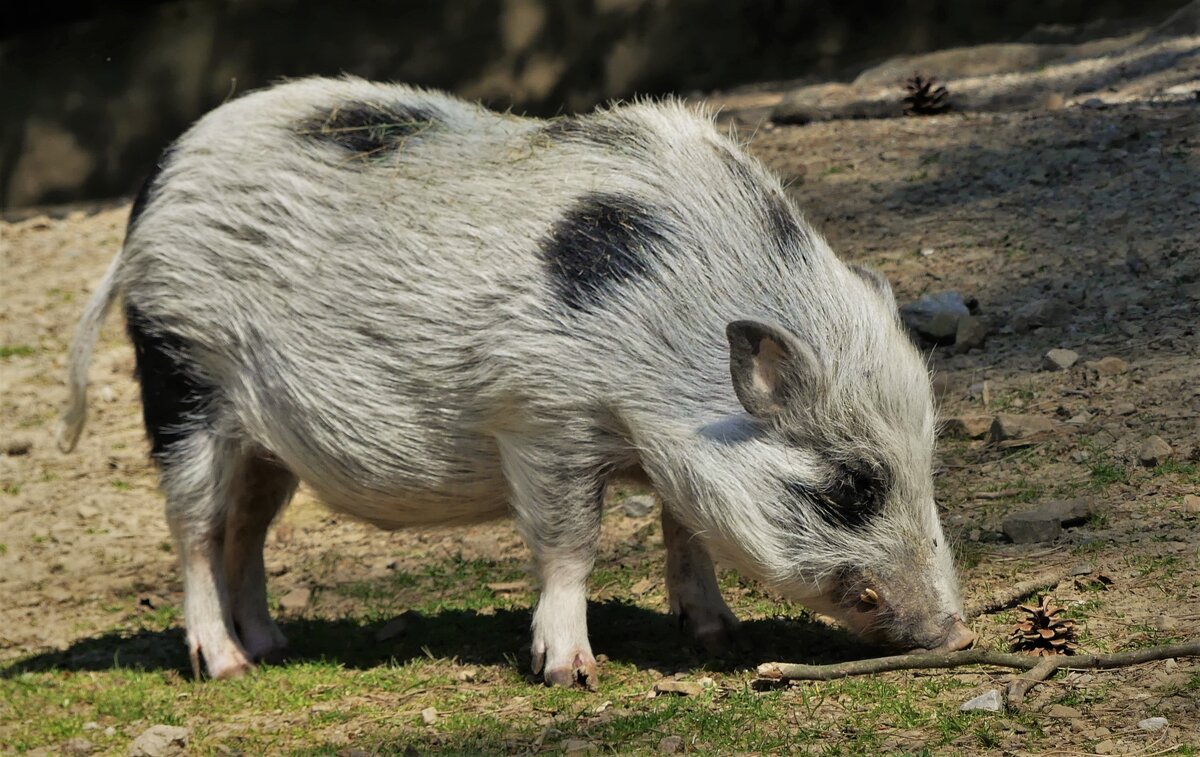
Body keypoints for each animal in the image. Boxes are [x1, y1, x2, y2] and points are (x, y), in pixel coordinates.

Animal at [58, 75, 974, 686]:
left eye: (925, 465)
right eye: (852, 484)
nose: (955, 632)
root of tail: (157, 184)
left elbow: (684, 528)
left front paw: (717, 635)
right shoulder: (542, 417)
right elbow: (571, 544)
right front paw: (571, 672)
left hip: (265, 441)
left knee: (246, 531)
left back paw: (272, 646)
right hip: (181, 374)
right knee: (195, 531)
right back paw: (225, 667)